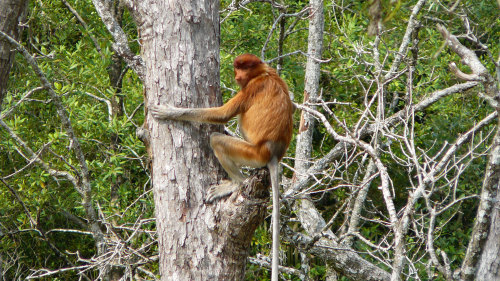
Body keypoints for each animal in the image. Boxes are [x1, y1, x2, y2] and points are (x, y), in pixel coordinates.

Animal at [152, 53, 292, 280]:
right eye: (238, 67)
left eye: (245, 67)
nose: (238, 76)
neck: (262, 73)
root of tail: (273, 155)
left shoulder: (250, 89)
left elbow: (221, 114)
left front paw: (168, 111)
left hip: (252, 153)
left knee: (217, 140)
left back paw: (235, 183)